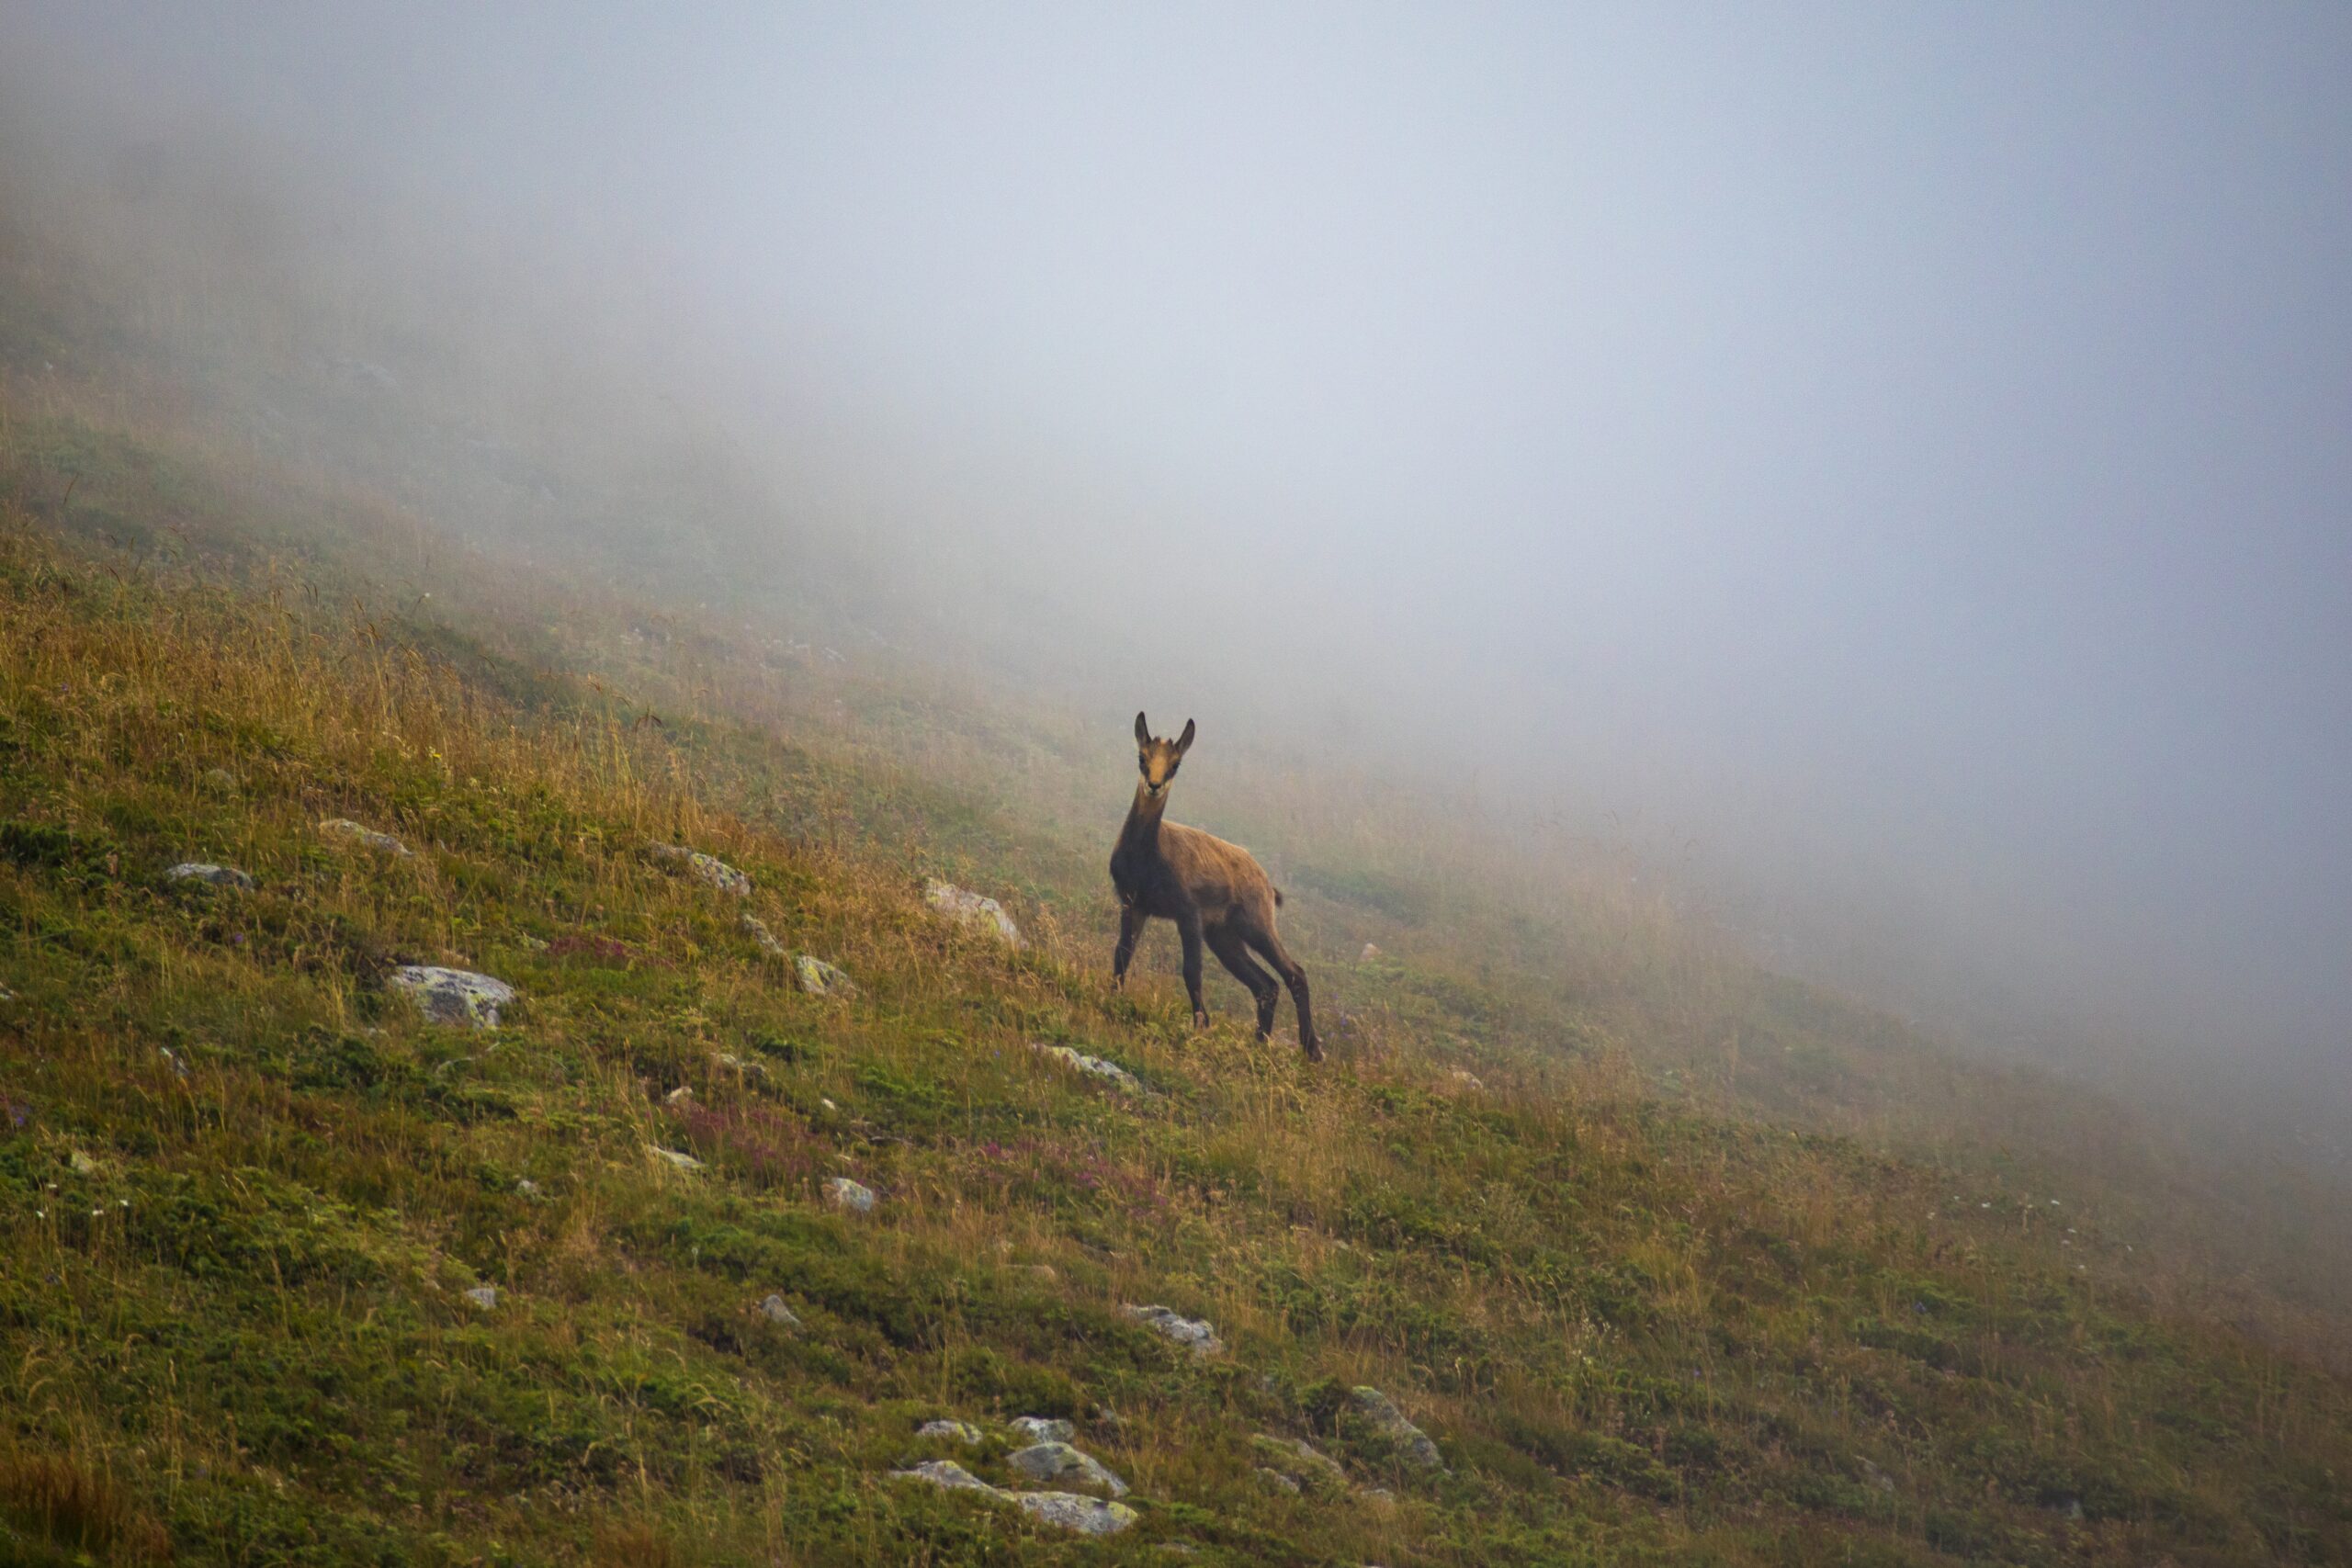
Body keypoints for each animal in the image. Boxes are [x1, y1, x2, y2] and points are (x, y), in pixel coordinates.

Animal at [1110, 713, 1320, 1061]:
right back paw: (1260, 1042)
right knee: (1266, 985)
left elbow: (1191, 970)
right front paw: (1113, 994)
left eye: (1175, 764)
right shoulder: (1133, 903)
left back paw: (1311, 1049)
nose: (1154, 785)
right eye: (1142, 757)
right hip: (1223, 936)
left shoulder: (1189, 913)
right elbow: (1122, 953)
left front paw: (1201, 1023)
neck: (1148, 856)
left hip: (1255, 924)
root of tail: (1268, 885)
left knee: (1294, 973)